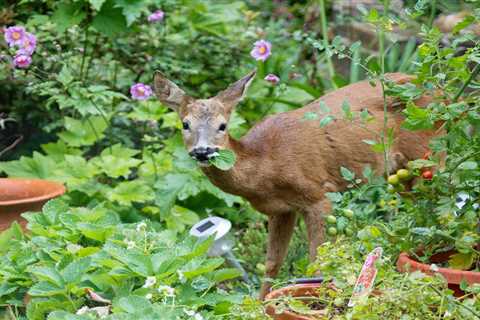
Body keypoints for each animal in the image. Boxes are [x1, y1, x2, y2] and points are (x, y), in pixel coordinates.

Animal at [153, 70, 436, 300]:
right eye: (185, 124)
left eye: (222, 125)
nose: (203, 151)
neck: (266, 165)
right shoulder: (281, 210)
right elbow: (271, 263)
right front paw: (260, 305)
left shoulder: (319, 195)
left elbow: (317, 260)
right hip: (401, 174)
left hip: (429, 154)